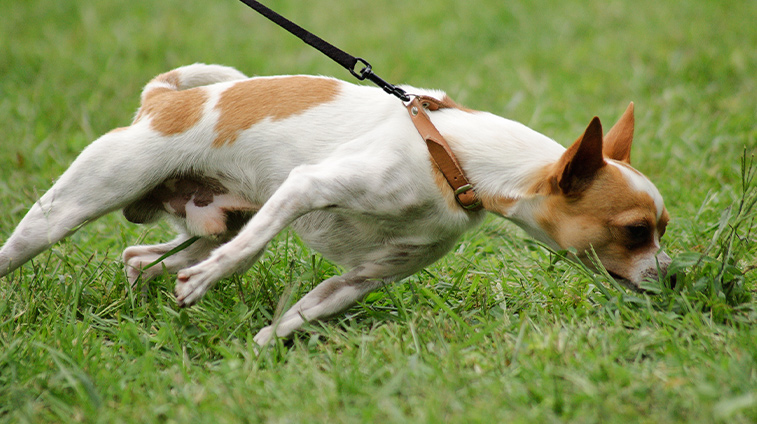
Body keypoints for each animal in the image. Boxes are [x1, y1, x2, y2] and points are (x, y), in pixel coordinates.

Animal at [0, 64, 668, 346]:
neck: (452, 155)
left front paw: (258, 351)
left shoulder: (360, 279)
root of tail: (163, 99)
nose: (676, 278)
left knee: (145, 257)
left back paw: (147, 286)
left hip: (214, 221)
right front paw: (212, 285)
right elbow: (255, 249)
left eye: (663, 228)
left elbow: (295, 320)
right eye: (637, 232)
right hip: (69, 209)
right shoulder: (306, 187)